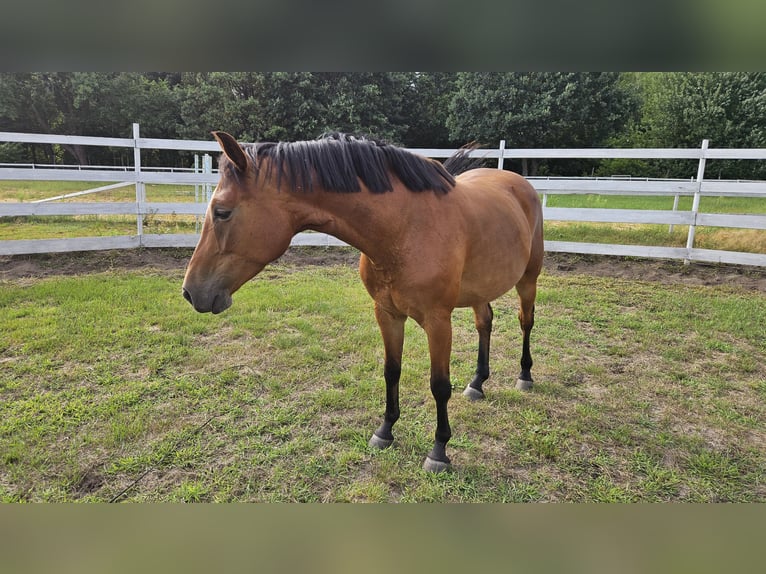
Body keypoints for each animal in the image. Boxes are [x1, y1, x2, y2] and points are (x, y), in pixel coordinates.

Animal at [182, 131, 544, 472]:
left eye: (222, 212)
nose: (190, 291)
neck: (406, 228)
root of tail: (517, 182)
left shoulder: (438, 321)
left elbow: (439, 385)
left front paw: (439, 450)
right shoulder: (387, 314)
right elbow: (391, 371)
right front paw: (385, 431)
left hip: (528, 279)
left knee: (525, 322)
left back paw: (524, 377)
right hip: (480, 289)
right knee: (485, 322)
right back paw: (477, 383)